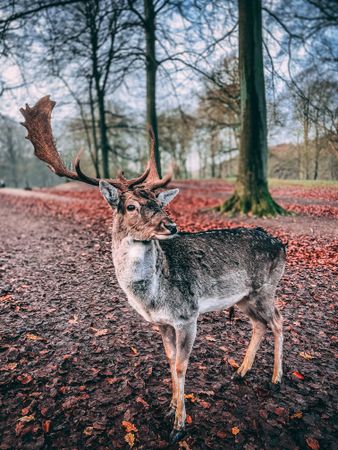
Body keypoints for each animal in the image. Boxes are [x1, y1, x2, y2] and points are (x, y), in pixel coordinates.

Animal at [20, 96, 286, 442]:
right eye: (131, 206)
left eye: (160, 204)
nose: (170, 225)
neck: (153, 297)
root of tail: (281, 244)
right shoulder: (161, 323)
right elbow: (170, 361)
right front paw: (171, 408)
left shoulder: (188, 315)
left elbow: (181, 366)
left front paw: (179, 426)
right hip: (244, 298)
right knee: (259, 325)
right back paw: (241, 372)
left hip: (266, 288)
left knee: (278, 321)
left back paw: (276, 378)